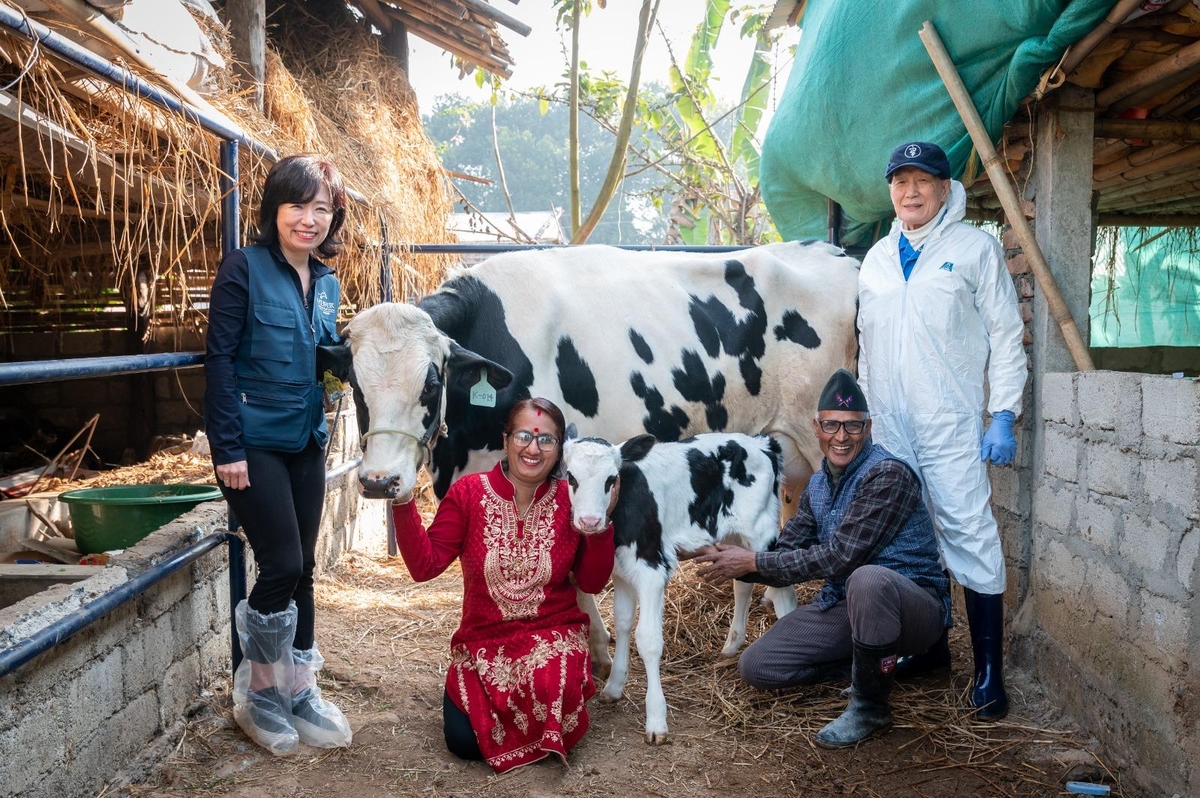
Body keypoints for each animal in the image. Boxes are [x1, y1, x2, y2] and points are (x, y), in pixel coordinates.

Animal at [561, 432, 796, 744]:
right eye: (570, 476)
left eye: (611, 478)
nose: (589, 521)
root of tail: (761, 442)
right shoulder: (621, 572)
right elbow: (623, 623)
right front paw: (614, 686)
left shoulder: (651, 568)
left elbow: (648, 639)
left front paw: (656, 719)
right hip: (734, 538)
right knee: (743, 582)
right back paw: (731, 644)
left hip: (763, 534)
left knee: (783, 590)